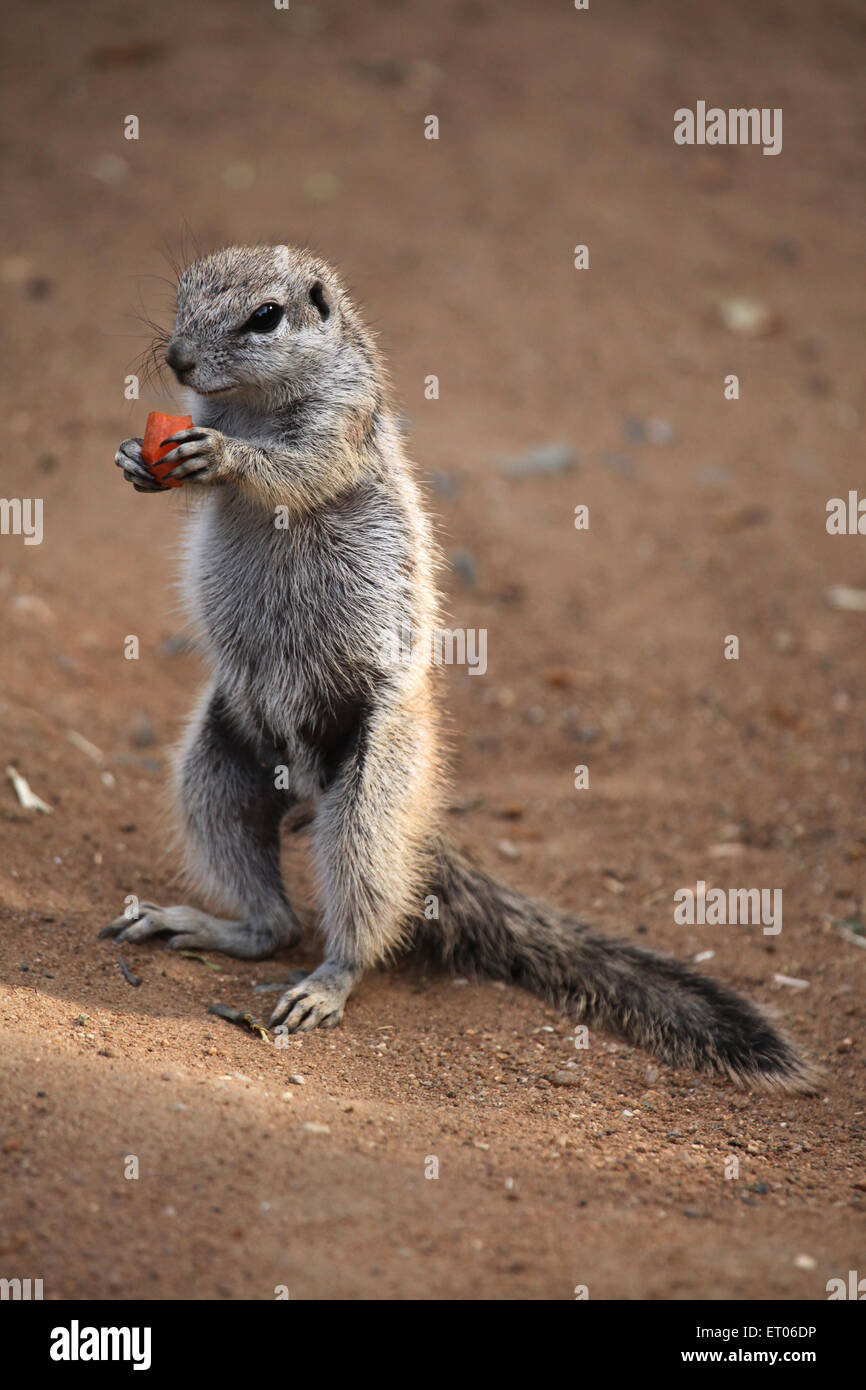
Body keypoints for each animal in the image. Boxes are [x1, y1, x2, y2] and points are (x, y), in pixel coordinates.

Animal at [101, 252, 811, 1095]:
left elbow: (299, 469)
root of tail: (307, 786)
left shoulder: (342, 426)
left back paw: (326, 985)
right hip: (218, 764)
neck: (245, 406)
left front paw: (227, 458)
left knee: (356, 911)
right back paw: (204, 923)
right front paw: (137, 460)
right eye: (181, 292)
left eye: (266, 317)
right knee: (270, 916)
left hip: (371, 791)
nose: (177, 358)